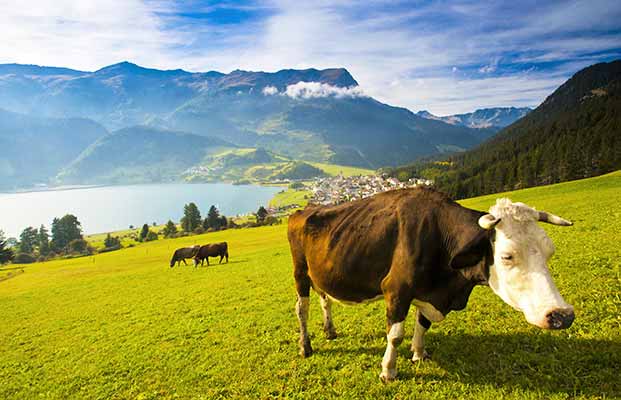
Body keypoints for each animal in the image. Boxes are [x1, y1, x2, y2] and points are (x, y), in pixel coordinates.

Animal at [288, 187, 572, 382]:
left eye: (550, 251)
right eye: (507, 256)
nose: (562, 315)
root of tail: (305, 209)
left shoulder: (429, 293)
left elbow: (422, 324)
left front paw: (419, 353)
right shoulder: (396, 289)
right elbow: (395, 335)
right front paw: (388, 370)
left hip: (320, 274)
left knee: (325, 300)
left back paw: (330, 330)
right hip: (300, 273)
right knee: (302, 309)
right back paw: (305, 346)